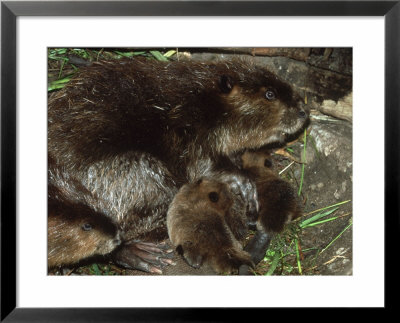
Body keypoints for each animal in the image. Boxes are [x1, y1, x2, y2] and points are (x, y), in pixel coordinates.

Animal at [47, 57, 310, 274]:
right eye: (269, 94)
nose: (304, 112)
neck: (202, 98)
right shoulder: (189, 130)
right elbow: (202, 167)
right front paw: (247, 189)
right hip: (136, 174)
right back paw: (144, 255)